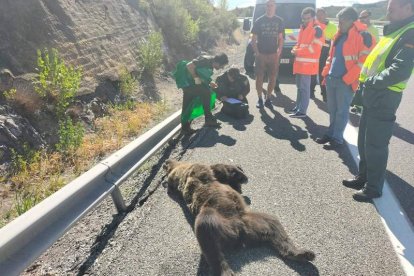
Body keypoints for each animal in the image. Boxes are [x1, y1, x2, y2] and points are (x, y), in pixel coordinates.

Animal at [163, 160, 316, 276]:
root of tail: (242, 232)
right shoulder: (196, 171)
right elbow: (217, 168)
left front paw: (239, 175)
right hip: (219, 223)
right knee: (207, 234)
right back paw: (224, 271)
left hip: (255, 221)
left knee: (275, 226)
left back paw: (301, 253)